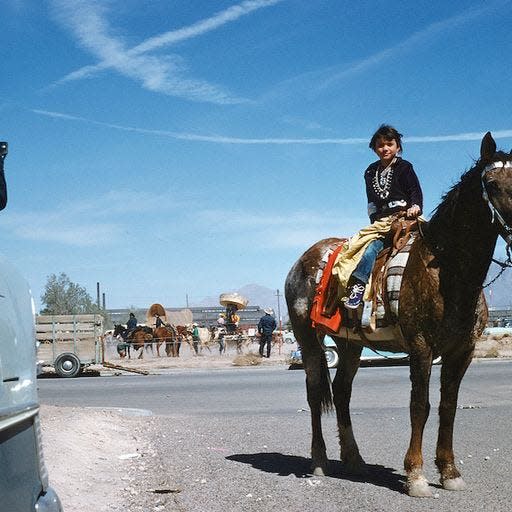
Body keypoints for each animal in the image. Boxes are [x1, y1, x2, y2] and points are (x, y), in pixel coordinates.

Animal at [284, 132, 512, 496]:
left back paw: (354, 460)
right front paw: (416, 476)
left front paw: (449, 472)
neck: (447, 271)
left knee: (342, 392)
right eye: (491, 183)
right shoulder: (420, 347)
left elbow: (448, 407)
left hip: (349, 344)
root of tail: (301, 261)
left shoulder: (462, 351)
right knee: (315, 390)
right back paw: (319, 461)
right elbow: (420, 406)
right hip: (309, 339)